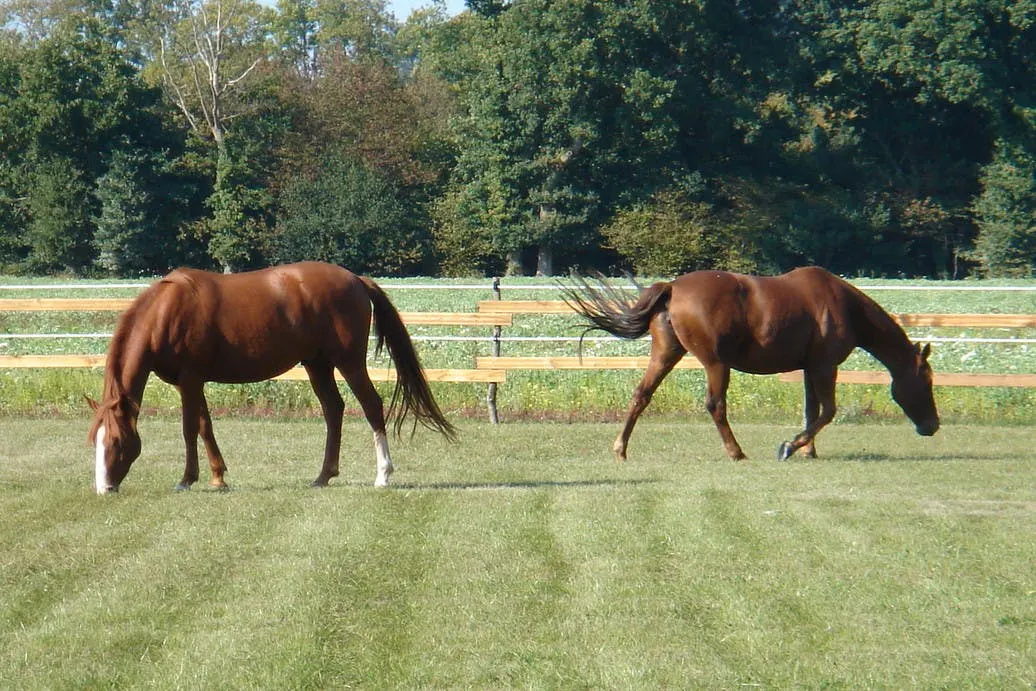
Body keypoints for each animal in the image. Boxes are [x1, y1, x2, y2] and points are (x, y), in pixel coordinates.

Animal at [87, 261, 456, 494]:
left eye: (117, 442)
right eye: (95, 442)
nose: (104, 489)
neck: (167, 311)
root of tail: (356, 279)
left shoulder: (189, 379)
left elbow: (190, 428)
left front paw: (187, 480)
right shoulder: (192, 382)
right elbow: (206, 426)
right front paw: (218, 478)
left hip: (348, 362)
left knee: (371, 406)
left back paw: (383, 475)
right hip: (317, 364)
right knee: (333, 410)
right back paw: (323, 476)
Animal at [562, 266, 939, 462]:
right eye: (927, 381)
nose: (932, 426)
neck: (842, 305)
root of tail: (672, 288)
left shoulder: (809, 368)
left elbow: (811, 410)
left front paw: (807, 449)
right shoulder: (824, 366)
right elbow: (828, 411)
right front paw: (791, 446)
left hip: (666, 353)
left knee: (641, 395)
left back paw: (621, 449)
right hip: (716, 363)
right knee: (715, 405)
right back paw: (736, 452)